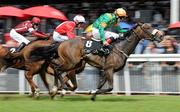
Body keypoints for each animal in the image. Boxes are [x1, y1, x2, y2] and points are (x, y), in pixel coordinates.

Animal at [23, 22, 164, 100]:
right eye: (147, 27)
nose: (161, 35)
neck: (120, 47)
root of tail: (61, 43)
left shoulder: (105, 70)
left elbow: (100, 85)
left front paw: (93, 94)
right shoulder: (109, 69)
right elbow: (110, 87)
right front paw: (91, 92)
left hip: (77, 64)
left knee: (56, 69)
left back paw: (54, 90)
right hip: (71, 63)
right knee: (56, 69)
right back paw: (57, 88)